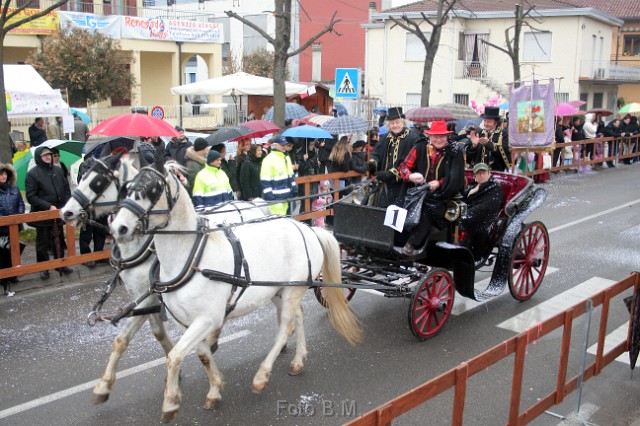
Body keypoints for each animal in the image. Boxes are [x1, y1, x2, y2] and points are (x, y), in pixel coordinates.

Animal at [60, 153, 270, 406]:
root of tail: (253, 204)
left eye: (97, 182)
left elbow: (152, 335)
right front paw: (104, 386)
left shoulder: (149, 299)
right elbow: (132, 338)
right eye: (81, 175)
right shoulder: (146, 298)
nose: (66, 212)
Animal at [109, 162, 360, 422]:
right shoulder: (188, 323)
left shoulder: (206, 319)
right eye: (126, 188)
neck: (191, 258)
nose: (119, 227)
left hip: (291, 291)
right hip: (282, 290)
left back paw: (262, 376)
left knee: (286, 327)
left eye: (152, 189)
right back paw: (298, 361)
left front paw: (170, 404)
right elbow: (202, 356)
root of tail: (306, 229)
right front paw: (214, 389)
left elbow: (174, 356)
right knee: (298, 316)